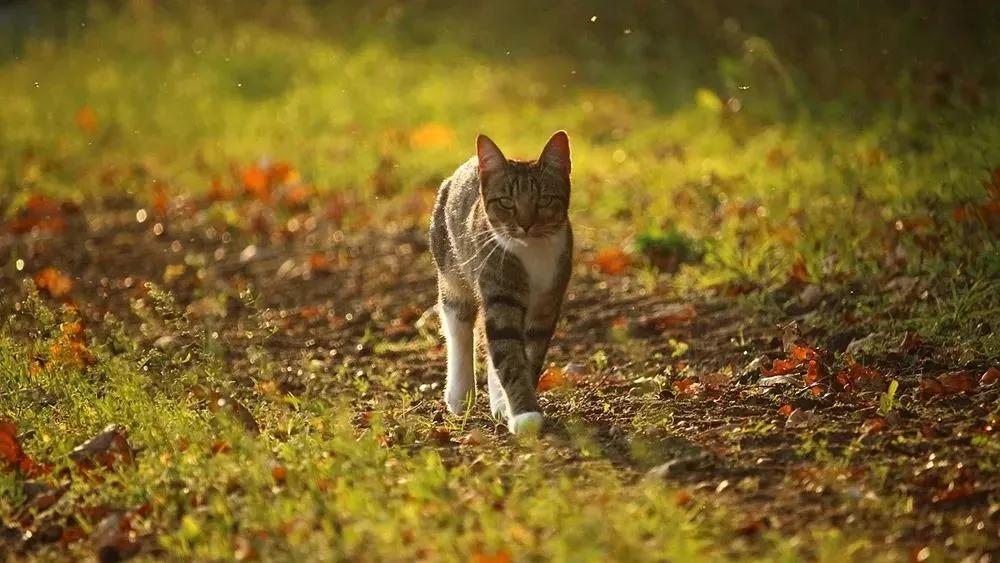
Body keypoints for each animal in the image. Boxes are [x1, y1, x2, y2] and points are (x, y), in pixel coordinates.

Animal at [428, 131, 576, 436]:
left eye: (544, 200)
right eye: (507, 201)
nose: (526, 224)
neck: (532, 251)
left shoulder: (548, 300)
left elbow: (528, 353)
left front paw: (513, 407)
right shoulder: (499, 288)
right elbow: (507, 349)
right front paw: (525, 414)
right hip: (450, 267)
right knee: (458, 325)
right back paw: (459, 395)